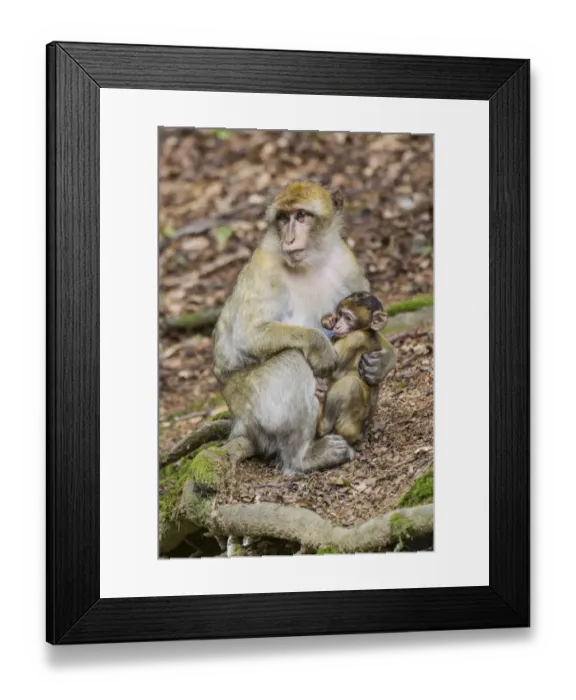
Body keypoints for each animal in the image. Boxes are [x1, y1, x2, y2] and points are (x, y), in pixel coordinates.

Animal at [315, 292, 389, 446]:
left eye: (348, 318)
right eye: (340, 314)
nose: (337, 326)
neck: (366, 330)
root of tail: (361, 435)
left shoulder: (355, 338)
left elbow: (332, 369)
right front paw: (329, 320)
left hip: (350, 424)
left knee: (350, 384)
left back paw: (323, 425)